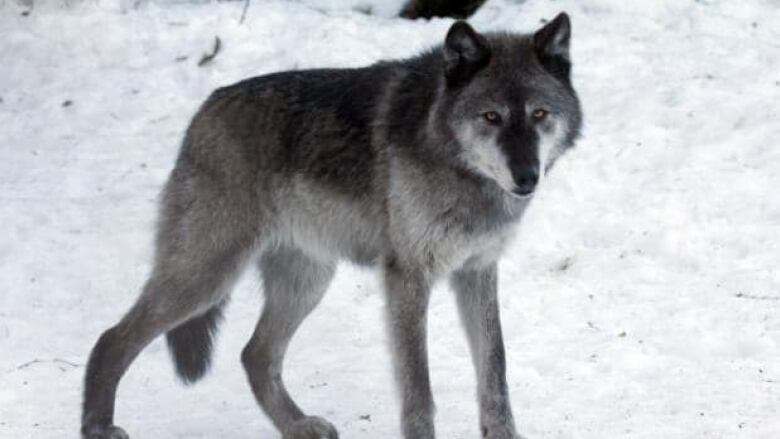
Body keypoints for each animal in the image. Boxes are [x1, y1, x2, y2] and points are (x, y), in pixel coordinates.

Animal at [84, 13, 584, 439]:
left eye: (539, 114)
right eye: (491, 117)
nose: (527, 176)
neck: (459, 168)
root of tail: (202, 114)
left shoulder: (477, 272)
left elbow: (495, 372)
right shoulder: (407, 279)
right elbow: (419, 390)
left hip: (307, 281)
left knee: (255, 354)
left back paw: (297, 426)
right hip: (207, 277)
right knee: (111, 338)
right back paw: (98, 427)